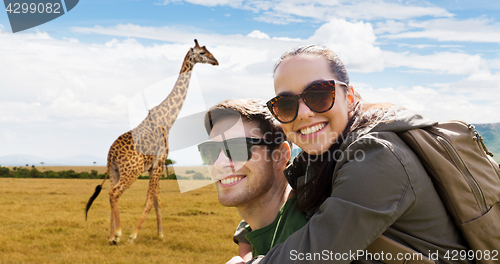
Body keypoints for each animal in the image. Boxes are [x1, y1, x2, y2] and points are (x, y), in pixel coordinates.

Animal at [86, 38, 219, 243]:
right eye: (202, 53)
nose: (216, 61)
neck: (168, 119)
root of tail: (111, 153)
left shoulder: (153, 167)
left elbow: (157, 200)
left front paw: (160, 234)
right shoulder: (160, 162)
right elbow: (149, 201)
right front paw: (133, 235)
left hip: (114, 171)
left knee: (110, 193)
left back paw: (111, 236)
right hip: (131, 172)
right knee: (115, 193)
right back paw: (119, 234)